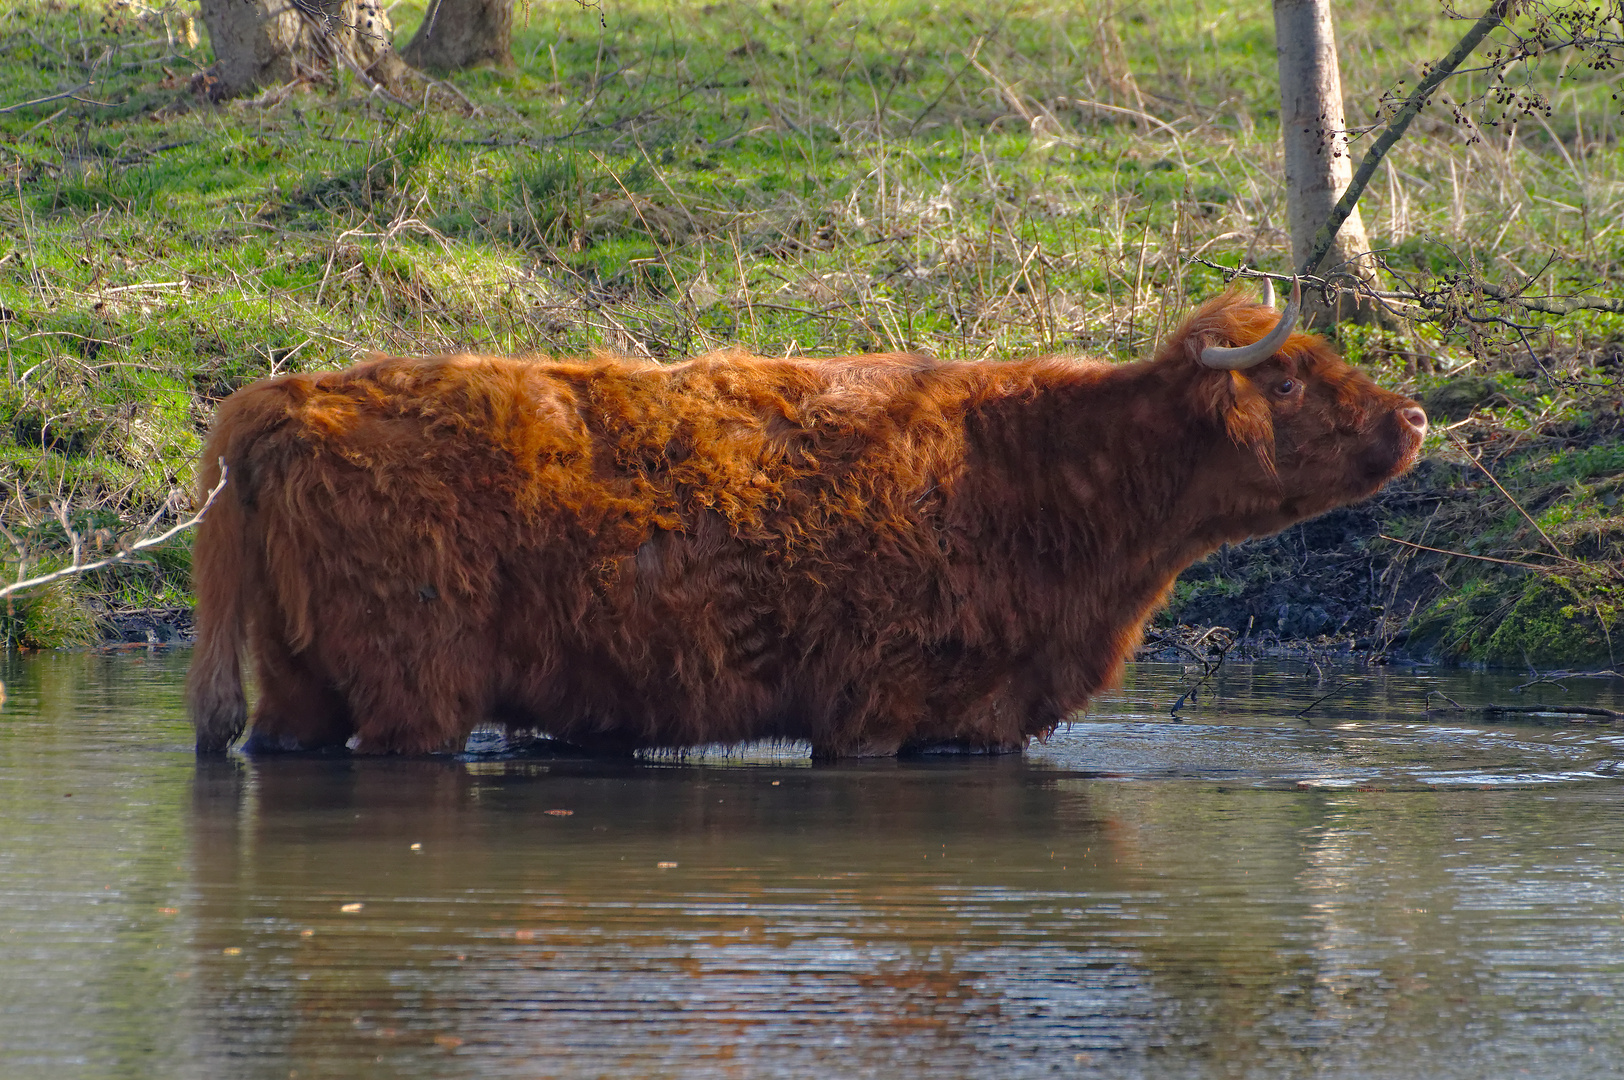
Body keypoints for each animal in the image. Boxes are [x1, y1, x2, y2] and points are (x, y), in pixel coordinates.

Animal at [190, 285, 1429, 756]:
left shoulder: (977, 723)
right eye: (1288, 380)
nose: (1415, 414)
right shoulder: (873, 709)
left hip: (299, 686)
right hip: (415, 691)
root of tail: (286, 395)